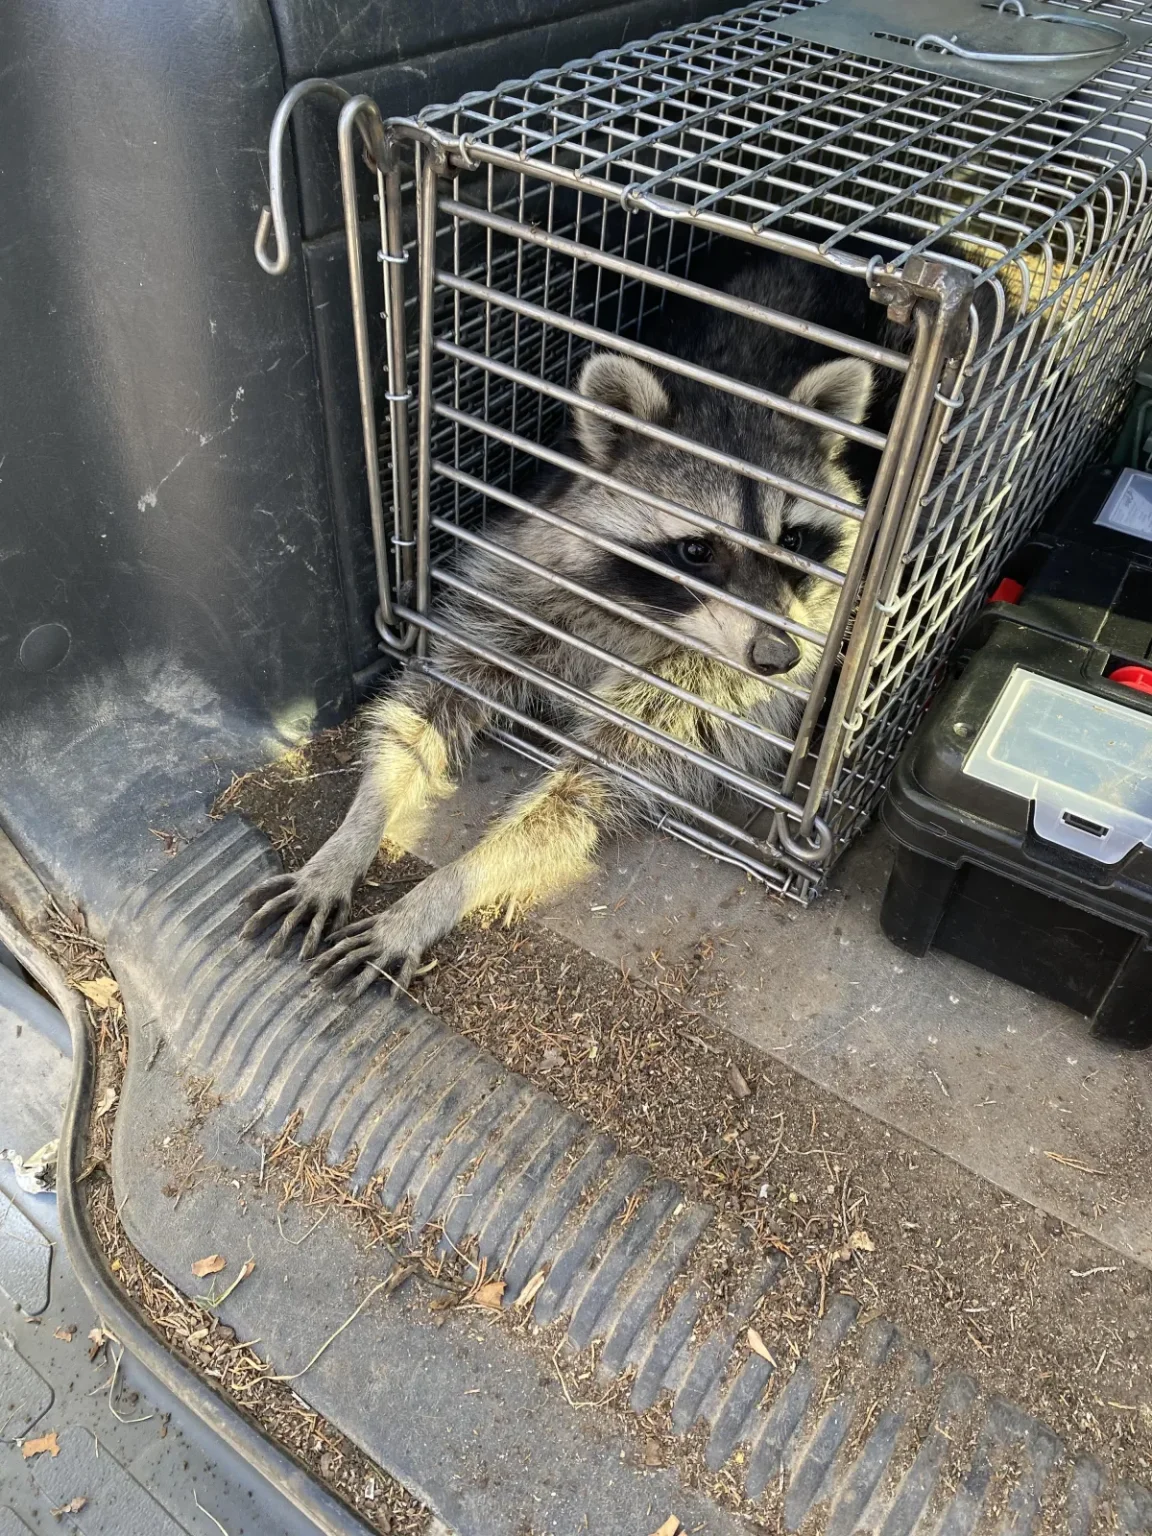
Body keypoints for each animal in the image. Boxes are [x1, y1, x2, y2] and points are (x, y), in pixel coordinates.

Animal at [243, 240, 914, 992]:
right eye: (696, 549)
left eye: (794, 540)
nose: (779, 657)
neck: (644, 613)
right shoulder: (527, 577)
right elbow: (427, 703)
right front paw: (354, 834)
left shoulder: (711, 688)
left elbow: (589, 789)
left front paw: (437, 894)